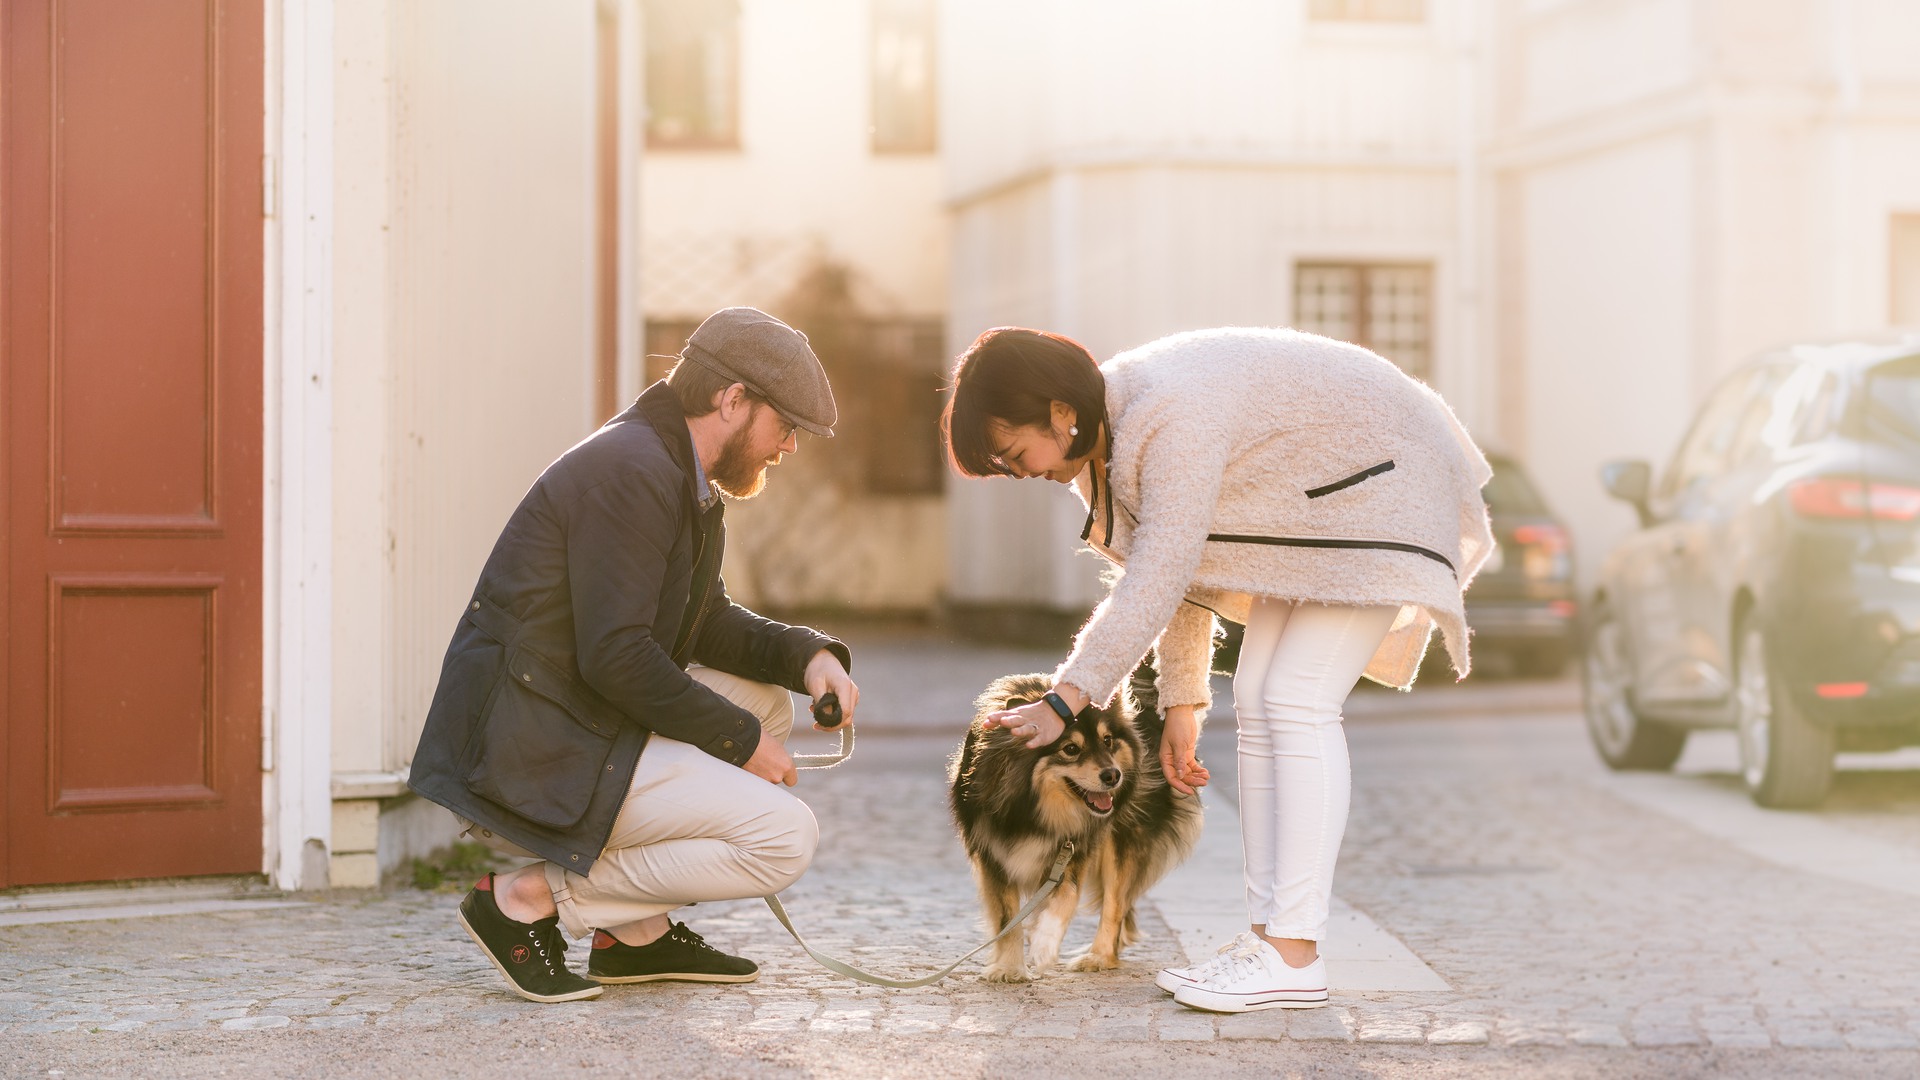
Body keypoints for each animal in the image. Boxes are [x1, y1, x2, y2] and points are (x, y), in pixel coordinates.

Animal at [944, 664, 1198, 976]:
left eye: (1107, 741)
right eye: (1071, 749)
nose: (1114, 776)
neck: (1034, 808)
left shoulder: (1075, 847)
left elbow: (1067, 895)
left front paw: (1044, 944)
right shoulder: (993, 853)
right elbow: (1007, 918)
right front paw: (1010, 968)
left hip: (1123, 838)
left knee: (1115, 904)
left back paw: (1099, 957)